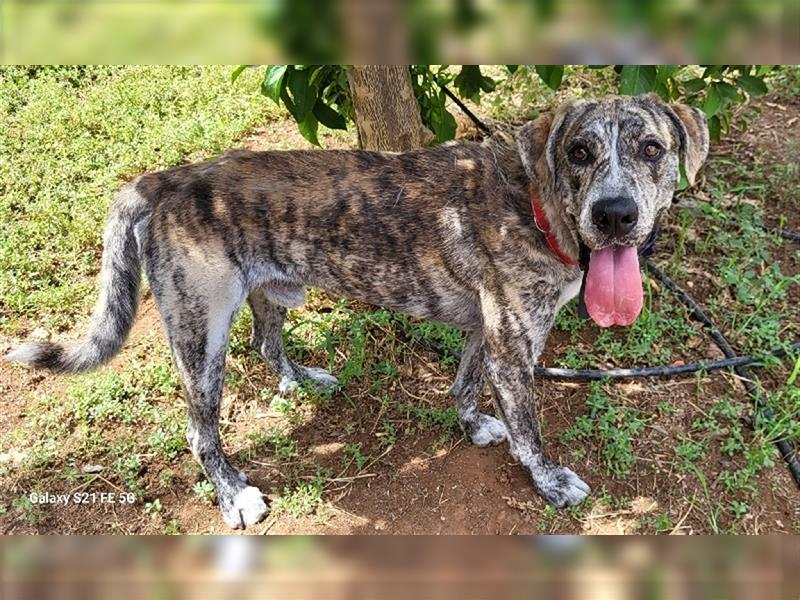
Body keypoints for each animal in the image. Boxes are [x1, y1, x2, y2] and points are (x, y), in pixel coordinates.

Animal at [6, 95, 708, 528]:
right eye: (579, 152)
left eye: (651, 149)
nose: (614, 215)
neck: (536, 201)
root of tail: (162, 180)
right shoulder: (514, 347)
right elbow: (531, 430)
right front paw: (550, 481)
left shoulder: (486, 331)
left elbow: (465, 385)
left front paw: (473, 425)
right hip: (202, 336)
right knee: (199, 431)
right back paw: (234, 495)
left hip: (267, 293)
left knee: (267, 344)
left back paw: (300, 379)